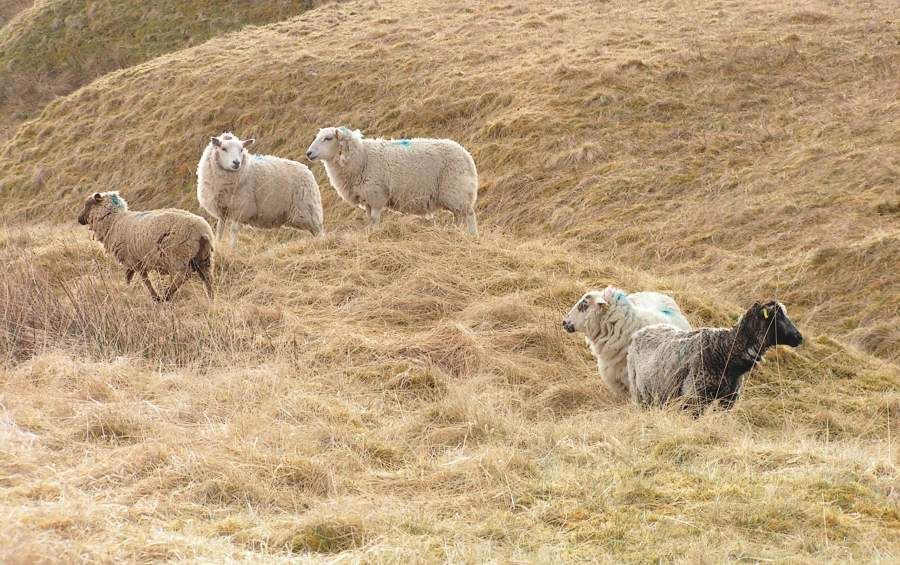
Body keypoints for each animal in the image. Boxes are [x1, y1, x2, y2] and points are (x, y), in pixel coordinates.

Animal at [78, 192, 216, 302]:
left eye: (87, 204)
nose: (79, 219)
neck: (114, 220)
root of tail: (203, 231)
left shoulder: (134, 259)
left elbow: (142, 278)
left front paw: (154, 296)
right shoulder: (136, 260)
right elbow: (130, 276)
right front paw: (127, 290)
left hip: (178, 255)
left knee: (182, 276)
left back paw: (165, 296)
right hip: (204, 258)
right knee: (207, 278)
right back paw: (211, 299)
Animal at [198, 133, 326, 248]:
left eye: (241, 150)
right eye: (223, 148)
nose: (236, 162)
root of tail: (307, 169)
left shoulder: (241, 208)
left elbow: (234, 230)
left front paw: (232, 248)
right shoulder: (222, 209)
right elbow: (219, 229)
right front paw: (218, 245)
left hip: (308, 209)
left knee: (318, 230)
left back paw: (321, 243)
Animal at [306, 126, 482, 235]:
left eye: (328, 138)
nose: (308, 153)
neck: (362, 158)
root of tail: (466, 154)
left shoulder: (376, 195)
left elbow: (375, 218)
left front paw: (374, 234)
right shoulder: (368, 198)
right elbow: (370, 219)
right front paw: (370, 233)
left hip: (456, 190)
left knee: (469, 215)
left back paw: (472, 236)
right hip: (455, 194)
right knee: (459, 217)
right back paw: (456, 232)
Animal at [624, 298, 808, 412]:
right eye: (777, 317)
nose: (799, 337)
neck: (725, 351)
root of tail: (642, 331)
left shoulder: (728, 399)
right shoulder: (695, 397)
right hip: (641, 395)